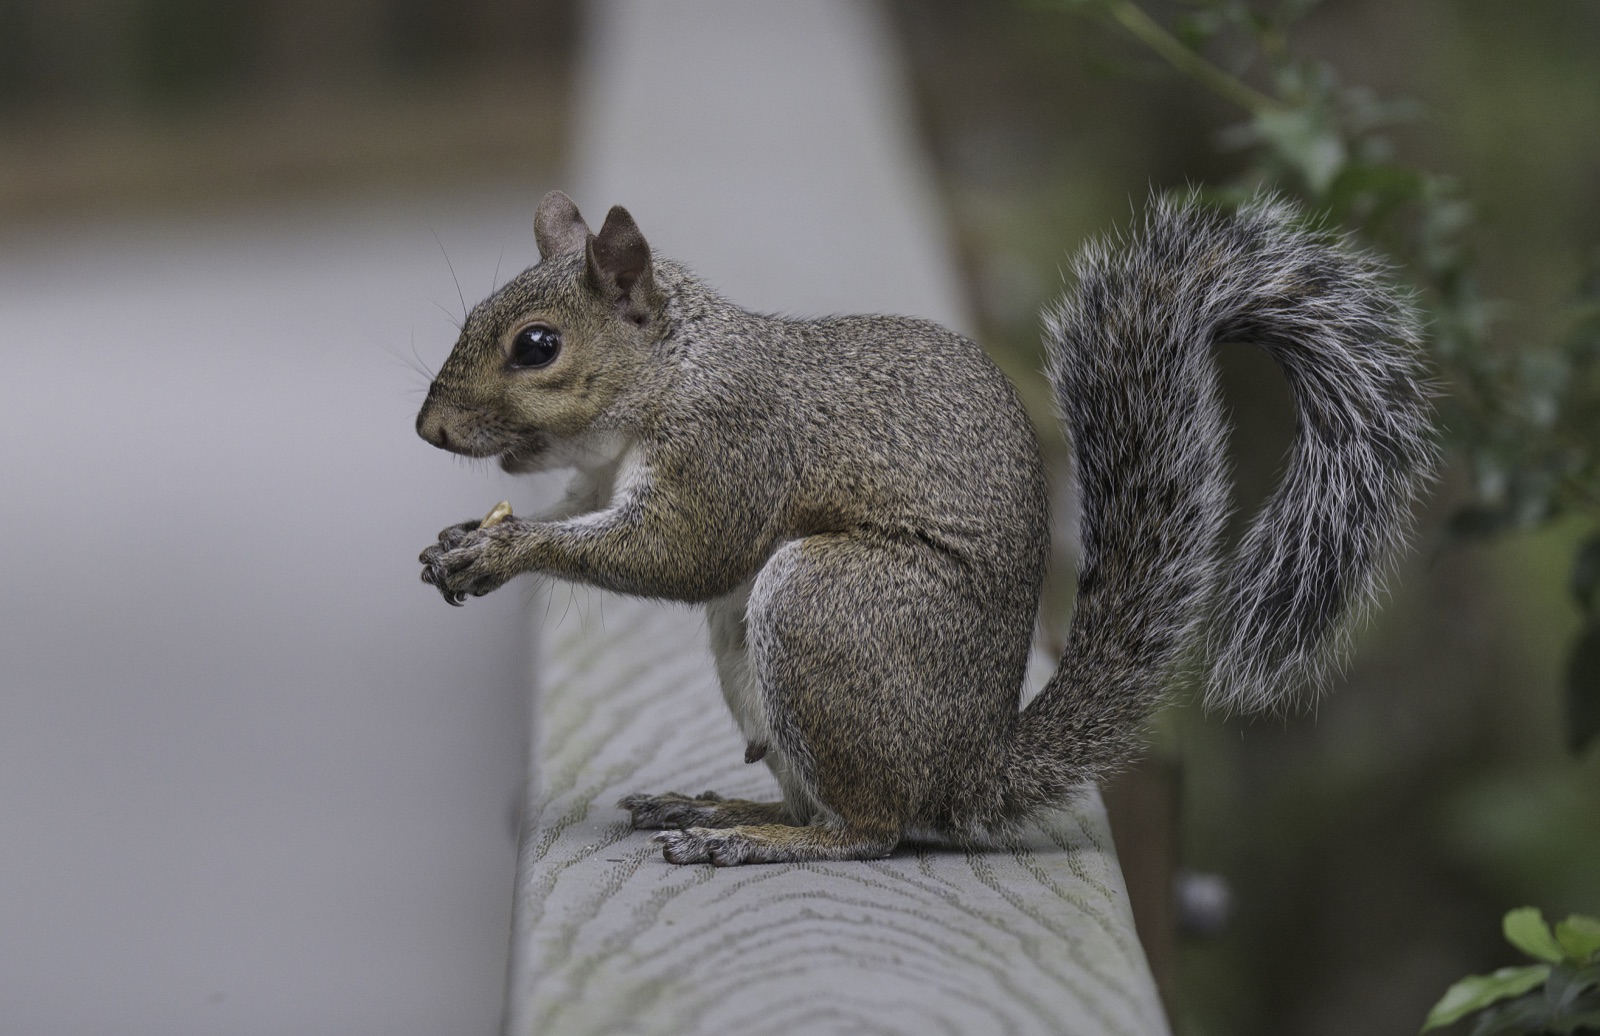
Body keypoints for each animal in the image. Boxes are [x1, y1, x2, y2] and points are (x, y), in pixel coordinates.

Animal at [416, 189, 1438, 866]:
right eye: (471, 317)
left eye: (537, 346)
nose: (429, 429)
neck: (673, 371)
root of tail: (968, 767)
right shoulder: (598, 473)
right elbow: (579, 510)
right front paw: (460, 541)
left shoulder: (733, 446)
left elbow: (682, 554)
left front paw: (507, 548)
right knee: (833, 806)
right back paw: (715, 806)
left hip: (825, 606)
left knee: (870, 830)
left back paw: (753, 838)